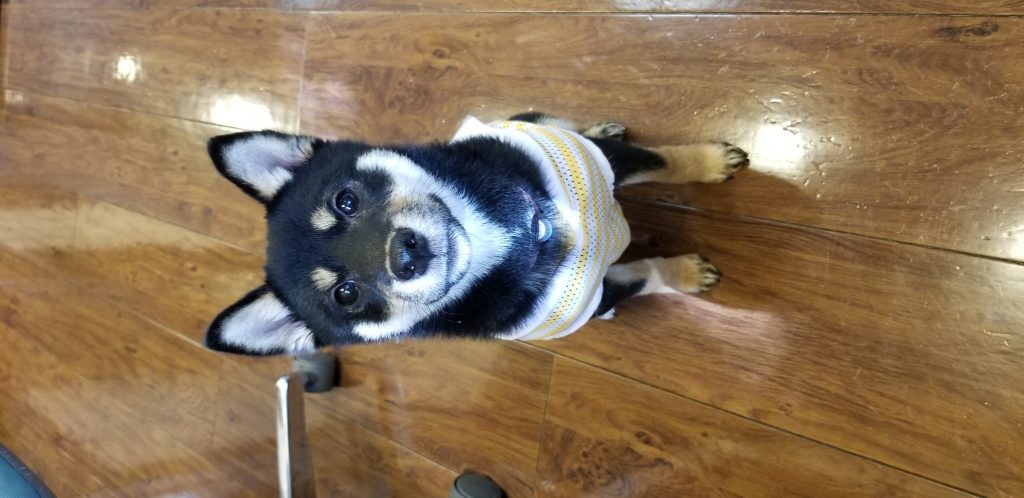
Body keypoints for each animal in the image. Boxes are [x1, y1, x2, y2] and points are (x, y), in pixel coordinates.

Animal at [204, 113, 748, 355]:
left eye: (346, 201)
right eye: (346, 294)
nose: (405, 254)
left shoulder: (597, 160)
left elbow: (662, 161)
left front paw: (709, 162)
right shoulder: (596, 294)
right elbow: (646, 276)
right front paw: (686, 274)